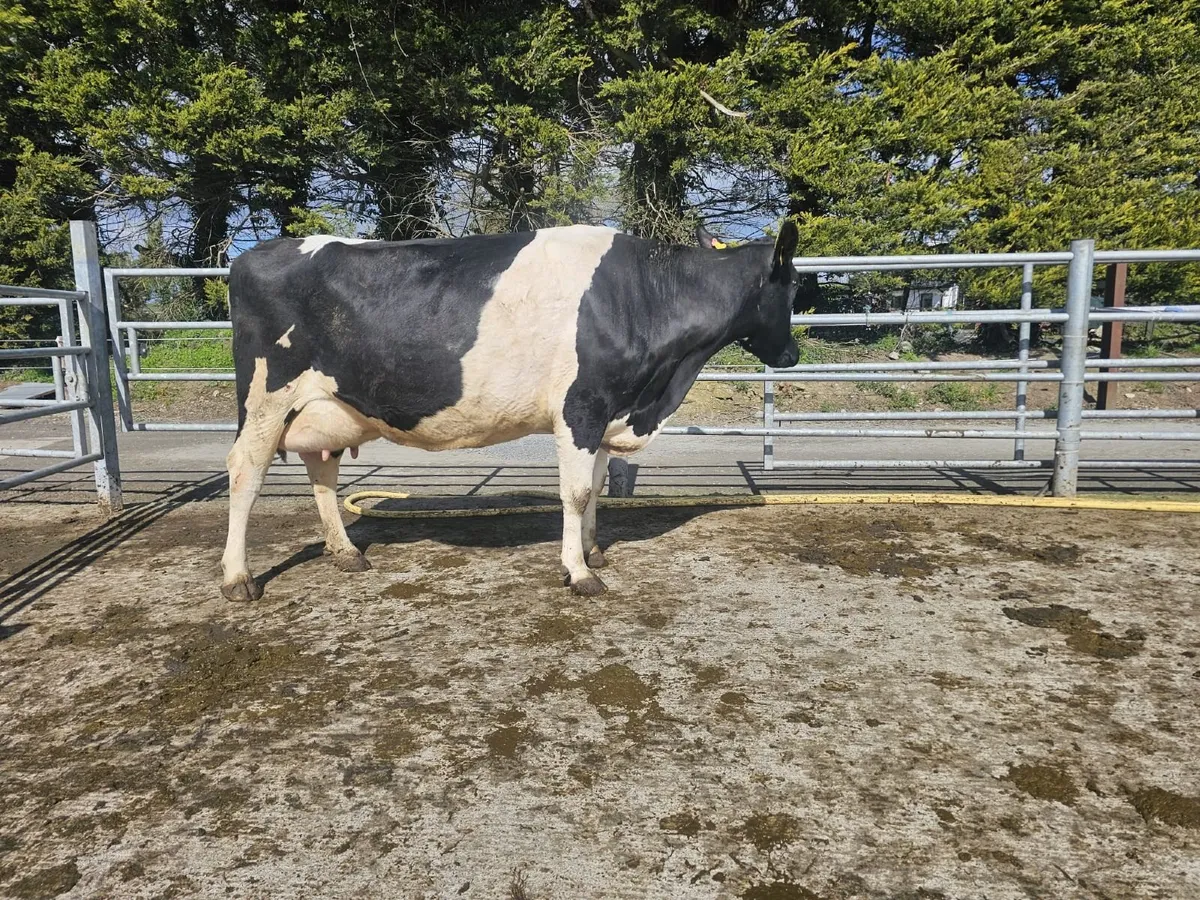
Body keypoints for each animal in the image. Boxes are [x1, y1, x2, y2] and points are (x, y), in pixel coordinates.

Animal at [220, 220, 801, 601]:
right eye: (795, 285)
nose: (793, 354)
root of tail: (250, 254)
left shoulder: (605, 409)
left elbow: (594, 485)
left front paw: (592, 551)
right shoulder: (581, 406)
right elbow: (576, 491)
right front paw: (579, 573)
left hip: (326, 404)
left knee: (322, 471)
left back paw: (345, 553)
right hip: (267, 395)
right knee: (245, 471)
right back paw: (237, 578)